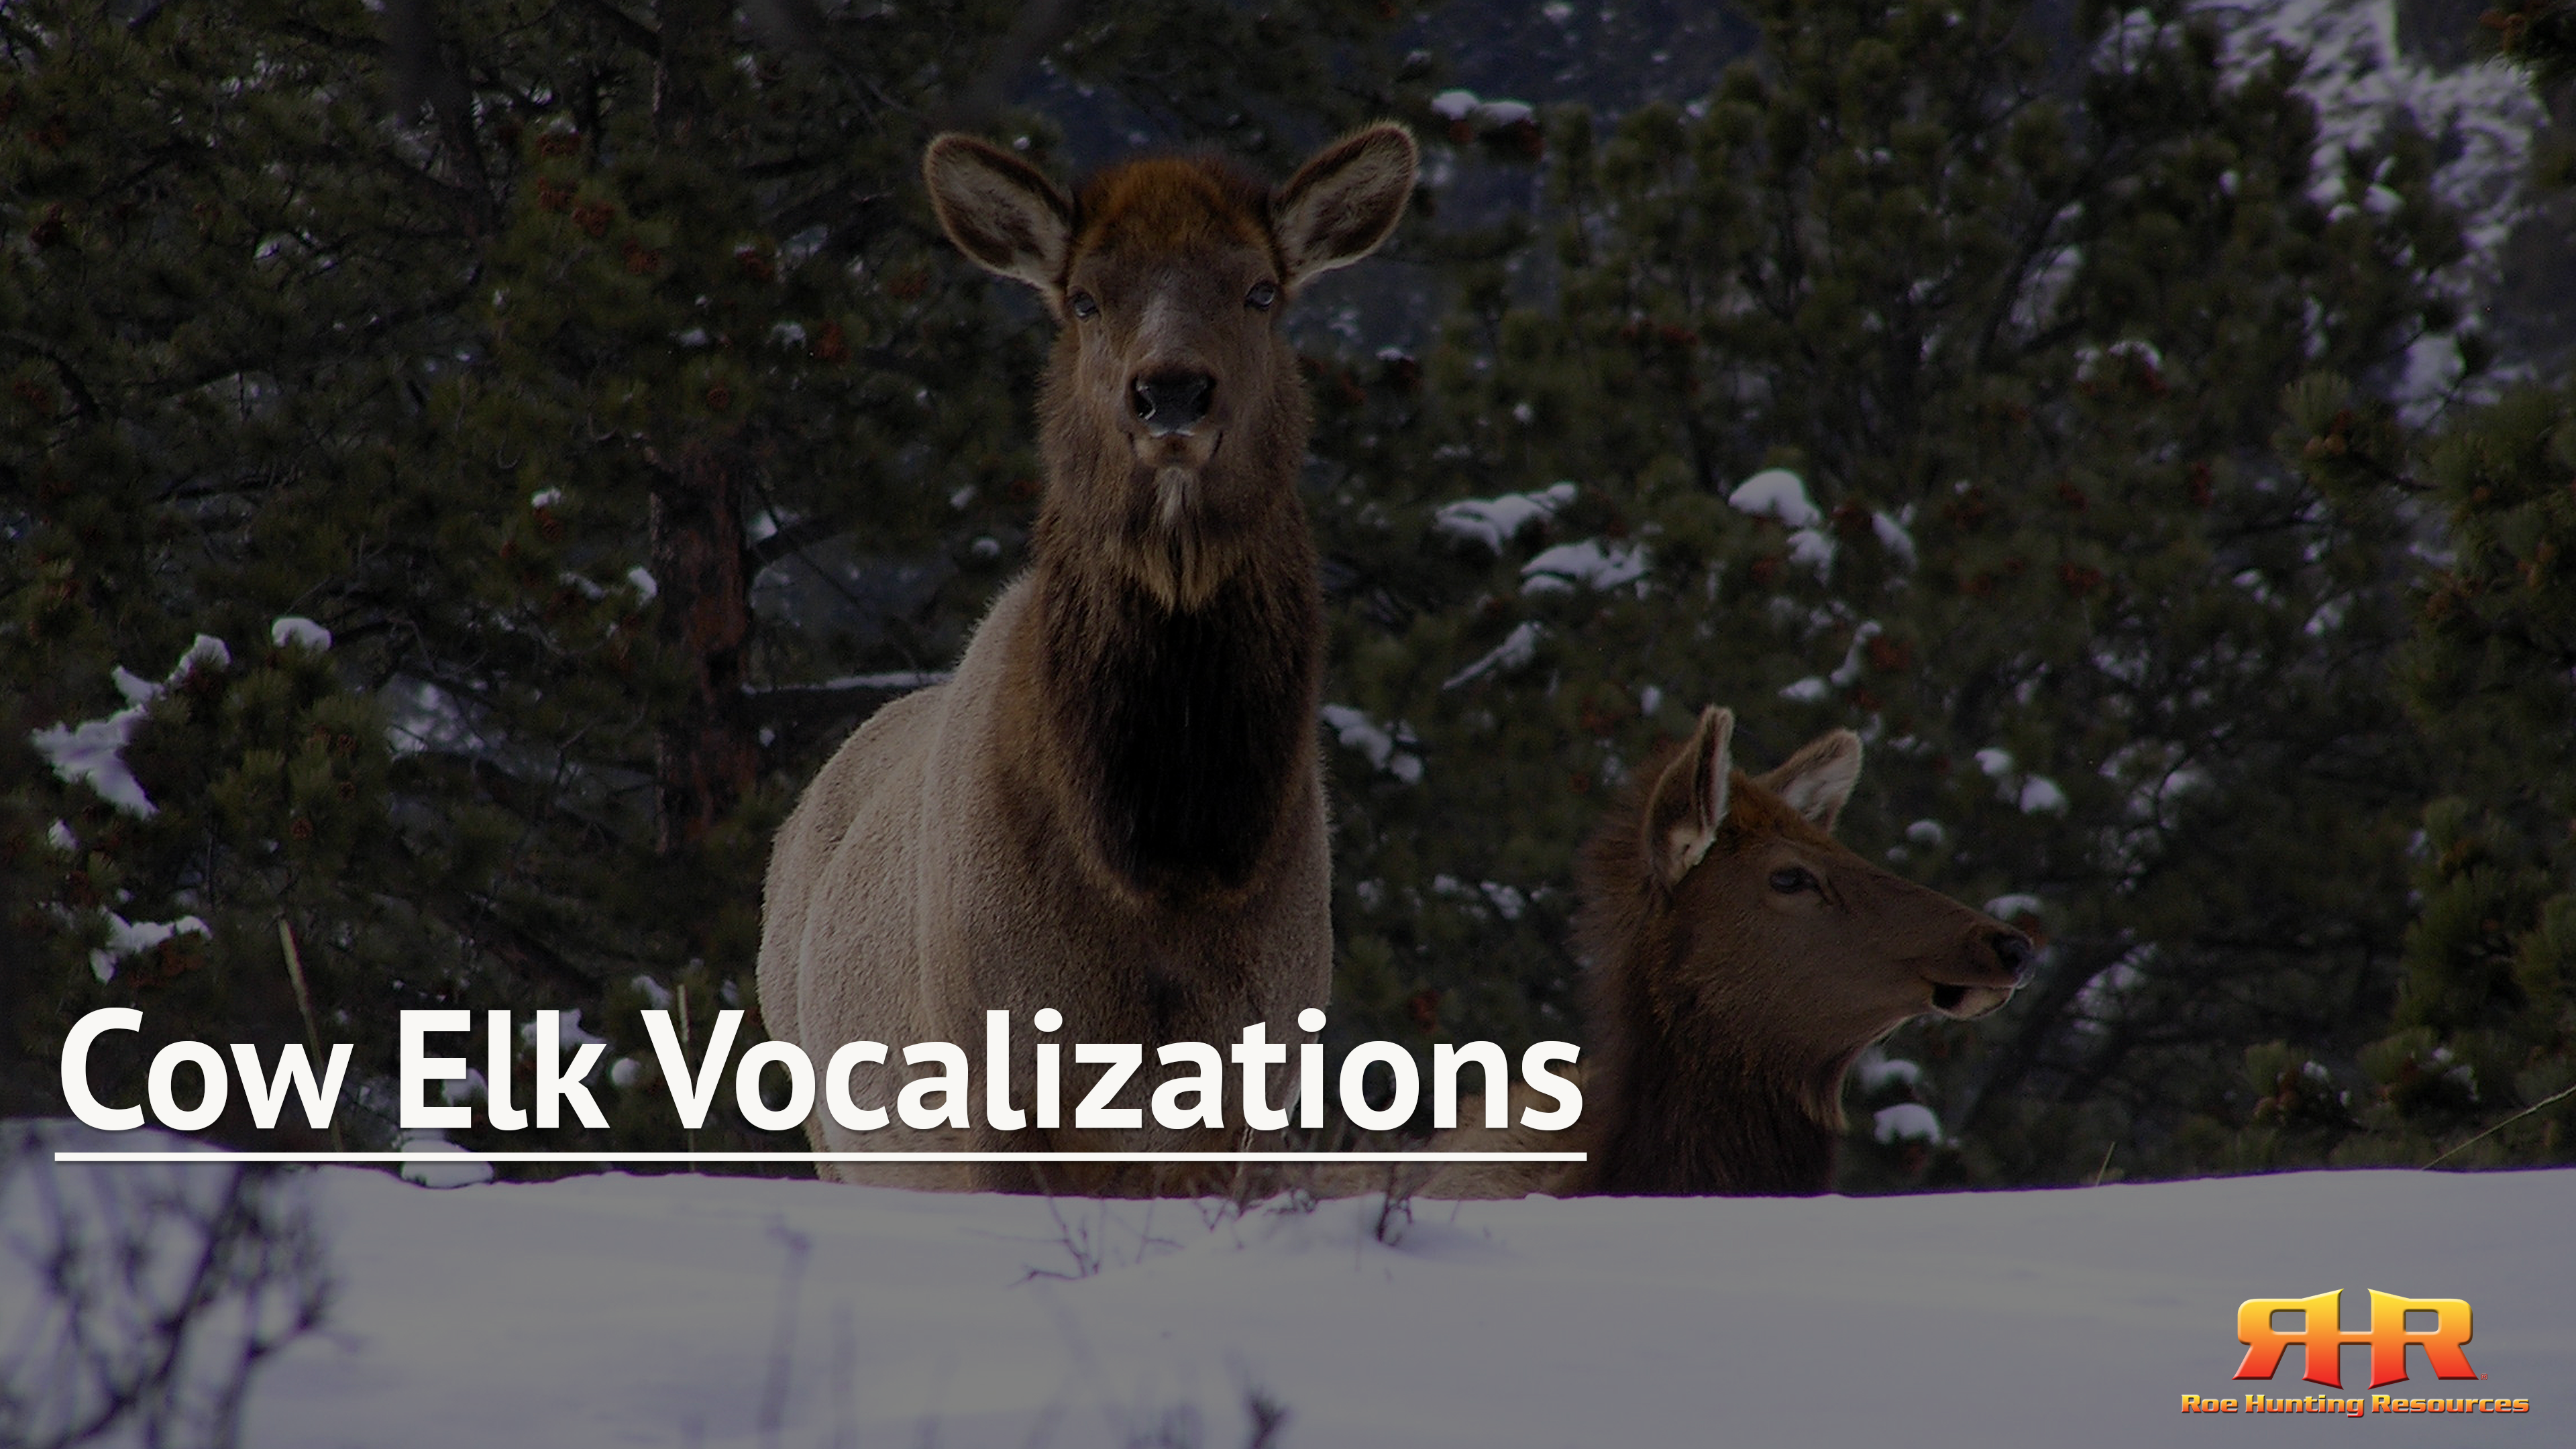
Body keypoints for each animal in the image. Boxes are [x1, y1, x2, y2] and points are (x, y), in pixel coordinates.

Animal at [755, 125, 1418, 1193]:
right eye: (1084, 297)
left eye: (1261, 289)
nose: (1172, 390)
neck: (1164, 865)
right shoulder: (1000, 1082)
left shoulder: (1258, 1086)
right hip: (829, 1122)